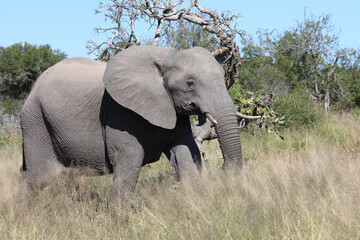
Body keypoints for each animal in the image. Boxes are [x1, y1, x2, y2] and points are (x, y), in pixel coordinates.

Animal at [16, 45, 242, 208]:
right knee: (40, 177)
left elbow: (184, 156)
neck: (166, 59)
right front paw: (117, 225)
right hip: (36, 121)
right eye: (190, 83)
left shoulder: (174, 113)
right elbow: (129, 161)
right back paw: (22, 217)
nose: (225, 169)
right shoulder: (120, 113)